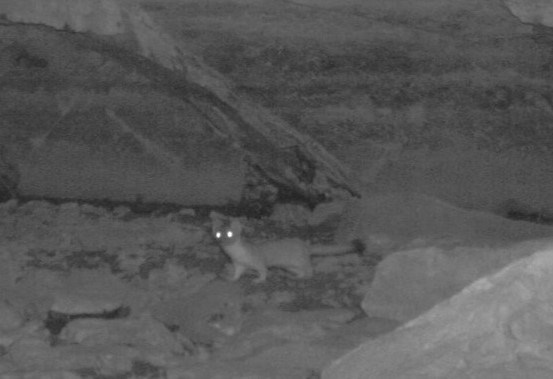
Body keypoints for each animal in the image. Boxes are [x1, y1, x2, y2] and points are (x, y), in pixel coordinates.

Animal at [211, 218, 362, 284]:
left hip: (300, 260)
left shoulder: (257, 259)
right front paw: (231, 278)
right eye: (218, 234)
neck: (236, 254)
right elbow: (237, 273)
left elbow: (263, 270)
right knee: (300, 271)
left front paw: (258, 279)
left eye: (230, 233)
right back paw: (294, 277)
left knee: (309, 269)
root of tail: (304, 245)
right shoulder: (238, 263)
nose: (222, 240)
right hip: (290, 266)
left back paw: (305, 277)